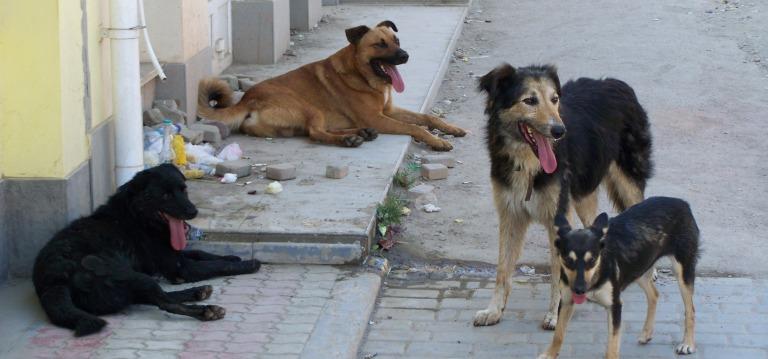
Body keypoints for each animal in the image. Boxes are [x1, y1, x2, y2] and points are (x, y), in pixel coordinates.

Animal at [33, 165, 260, 338]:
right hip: (128, 275)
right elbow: (215, 265)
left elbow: (203, 254)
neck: (138, 216)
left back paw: (198, 292)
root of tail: (54, 280)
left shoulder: (173, 257)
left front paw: (232, 256)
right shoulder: (180, 267)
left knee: (154, 297)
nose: (193, 211)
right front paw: (248, 263)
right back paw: (206, 310)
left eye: (184, 189)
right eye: (166, 195)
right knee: (164, 303)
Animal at [198, 20, 464, 152]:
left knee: (314, 131)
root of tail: (247, 99)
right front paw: (436, 141)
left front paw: (450, 128)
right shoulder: (379, 117)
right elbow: (416, 127)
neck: (361, 74)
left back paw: (360, 133)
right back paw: (350, 139)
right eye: (379, 44)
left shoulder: (387, 112)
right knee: (315, 132)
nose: (405, 55)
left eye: (396, 40)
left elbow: (428, 118)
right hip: (309, 107)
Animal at [474, 63, 656, 330]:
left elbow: (556, 271)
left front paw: (554, 314)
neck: (528, 162)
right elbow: (502, 269)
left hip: (627, 180)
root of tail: (616, 83)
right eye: (530, 100)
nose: (559, 131)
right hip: (581, 194)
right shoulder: (510, 214)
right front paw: (494, 310)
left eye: (554, 99)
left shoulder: (557, 217)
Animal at [540, 197, 704, 359]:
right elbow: (558, 334)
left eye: (592, 260)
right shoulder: (567, 301)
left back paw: (687, 343)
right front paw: (549, 354)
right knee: (654, 295)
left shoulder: (615, 306)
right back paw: (646, 333)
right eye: (568, 260)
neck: (598, 272)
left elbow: (612, 345)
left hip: (682, 271)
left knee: (690, 309)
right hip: (639, 268)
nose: (579, 290)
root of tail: (682, 202)